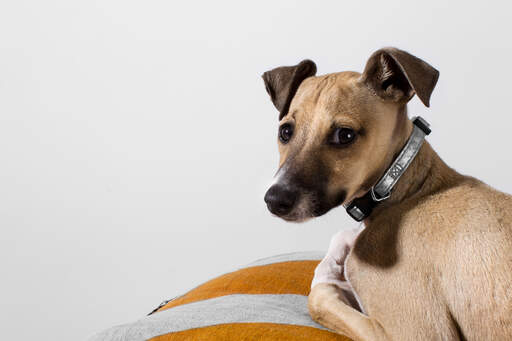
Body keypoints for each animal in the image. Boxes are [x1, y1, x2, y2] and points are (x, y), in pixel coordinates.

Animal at [264, 46, 512, 338]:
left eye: (344, 135)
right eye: (285, 131)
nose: (274, 200)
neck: (406, 188)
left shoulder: (419, 332)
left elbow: (318, 294)